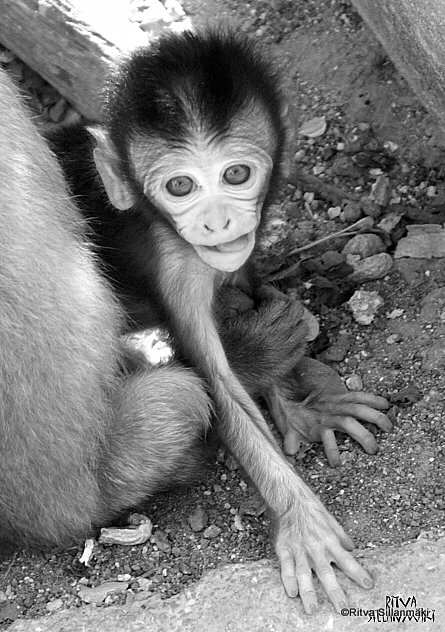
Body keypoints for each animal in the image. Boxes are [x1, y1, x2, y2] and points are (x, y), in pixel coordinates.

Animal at [47, 29, 391, 614]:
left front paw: (304, 409)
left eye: (235, 174)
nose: (216, 221)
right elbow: (220, 387)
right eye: (180, 187)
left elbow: (244, 285)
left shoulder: (232, 252)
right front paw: (301, 520)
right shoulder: (178, 265)